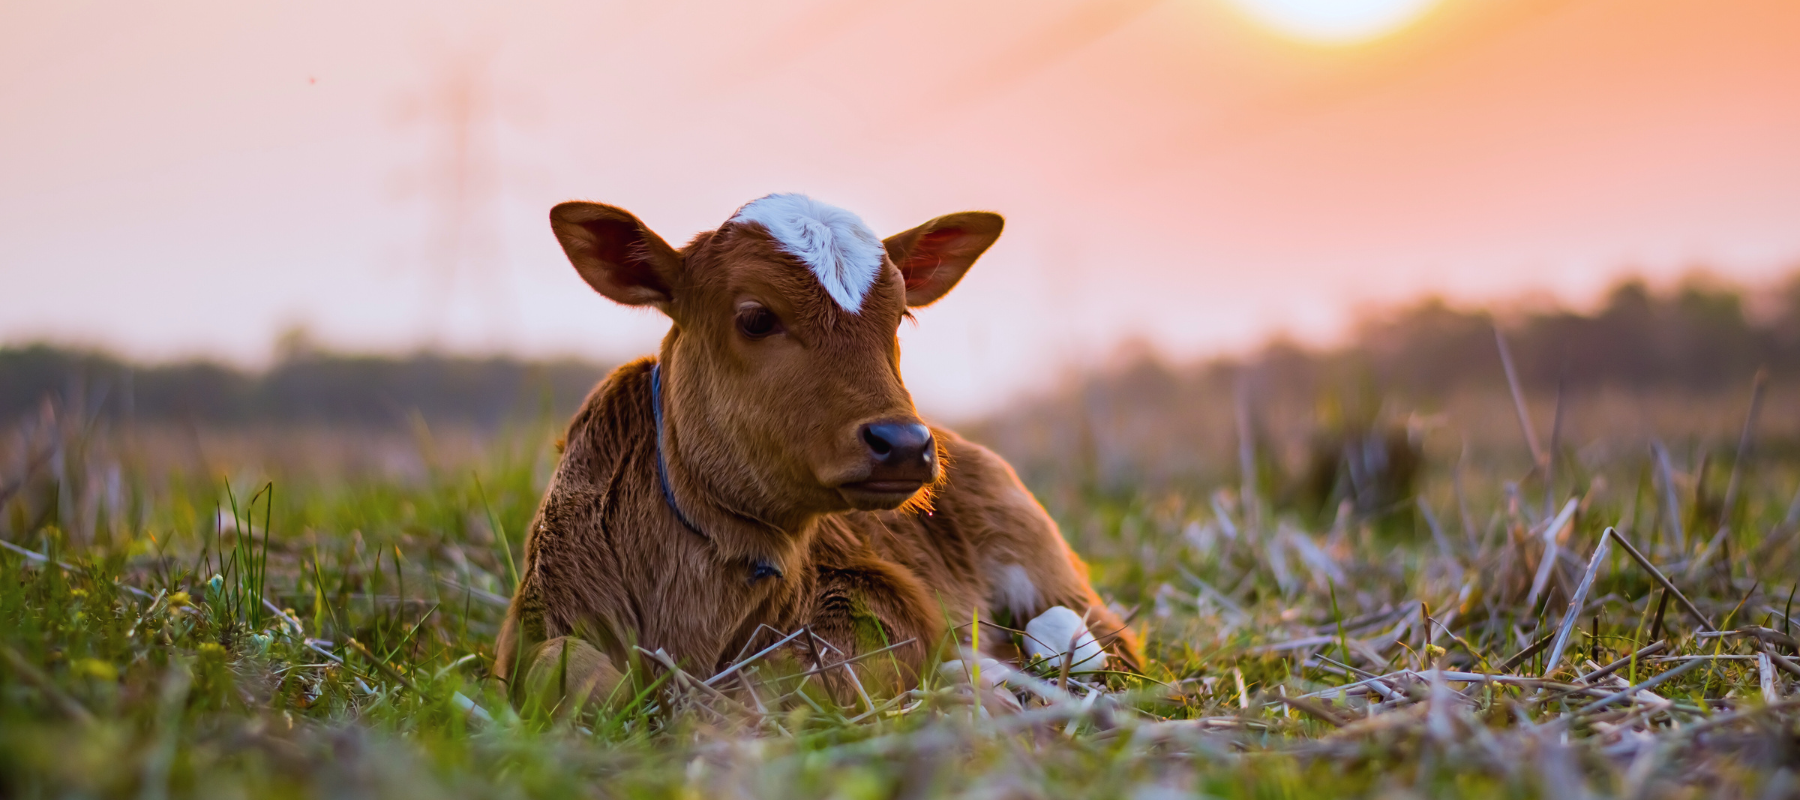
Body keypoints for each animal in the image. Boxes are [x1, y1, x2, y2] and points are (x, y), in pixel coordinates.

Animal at [496, 197, 1137, 709]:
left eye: (900, 315)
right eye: (756, 317)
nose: (905, 444)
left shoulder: (877, 594)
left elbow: (799, 673)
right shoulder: (535, 618)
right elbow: (568, 670)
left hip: (1038, 553)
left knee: (1100, 640)